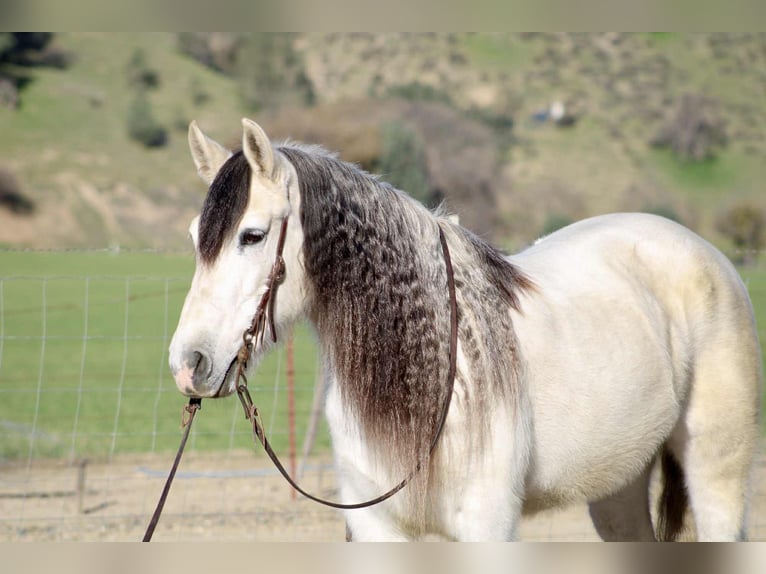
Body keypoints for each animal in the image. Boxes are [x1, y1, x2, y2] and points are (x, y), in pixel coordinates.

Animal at [169, 118, 762, 541]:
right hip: (619, 485)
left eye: (251, 235)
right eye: (196, 235)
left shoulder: (486, 523)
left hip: (716, 473)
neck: (433, 370)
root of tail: (704, 252)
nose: (187, 364)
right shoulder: (375, 528)